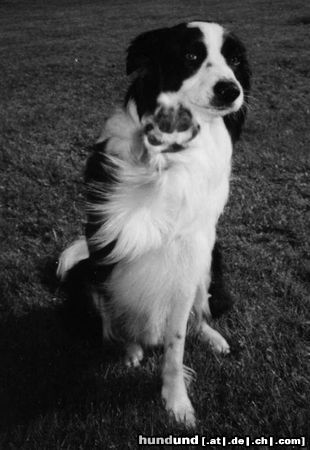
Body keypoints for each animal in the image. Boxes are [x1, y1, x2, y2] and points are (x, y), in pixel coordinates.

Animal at [57, 21, 251, 428]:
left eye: (236, 60)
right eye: (191, 55)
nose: (231, 90)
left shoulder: (188, 257)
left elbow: (176, 341)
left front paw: (176, 402)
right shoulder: (108, 242)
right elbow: (116, 306)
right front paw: (130, 348)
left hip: (209, 261)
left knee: (198, 313)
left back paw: (213, 338)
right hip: (86, 273)